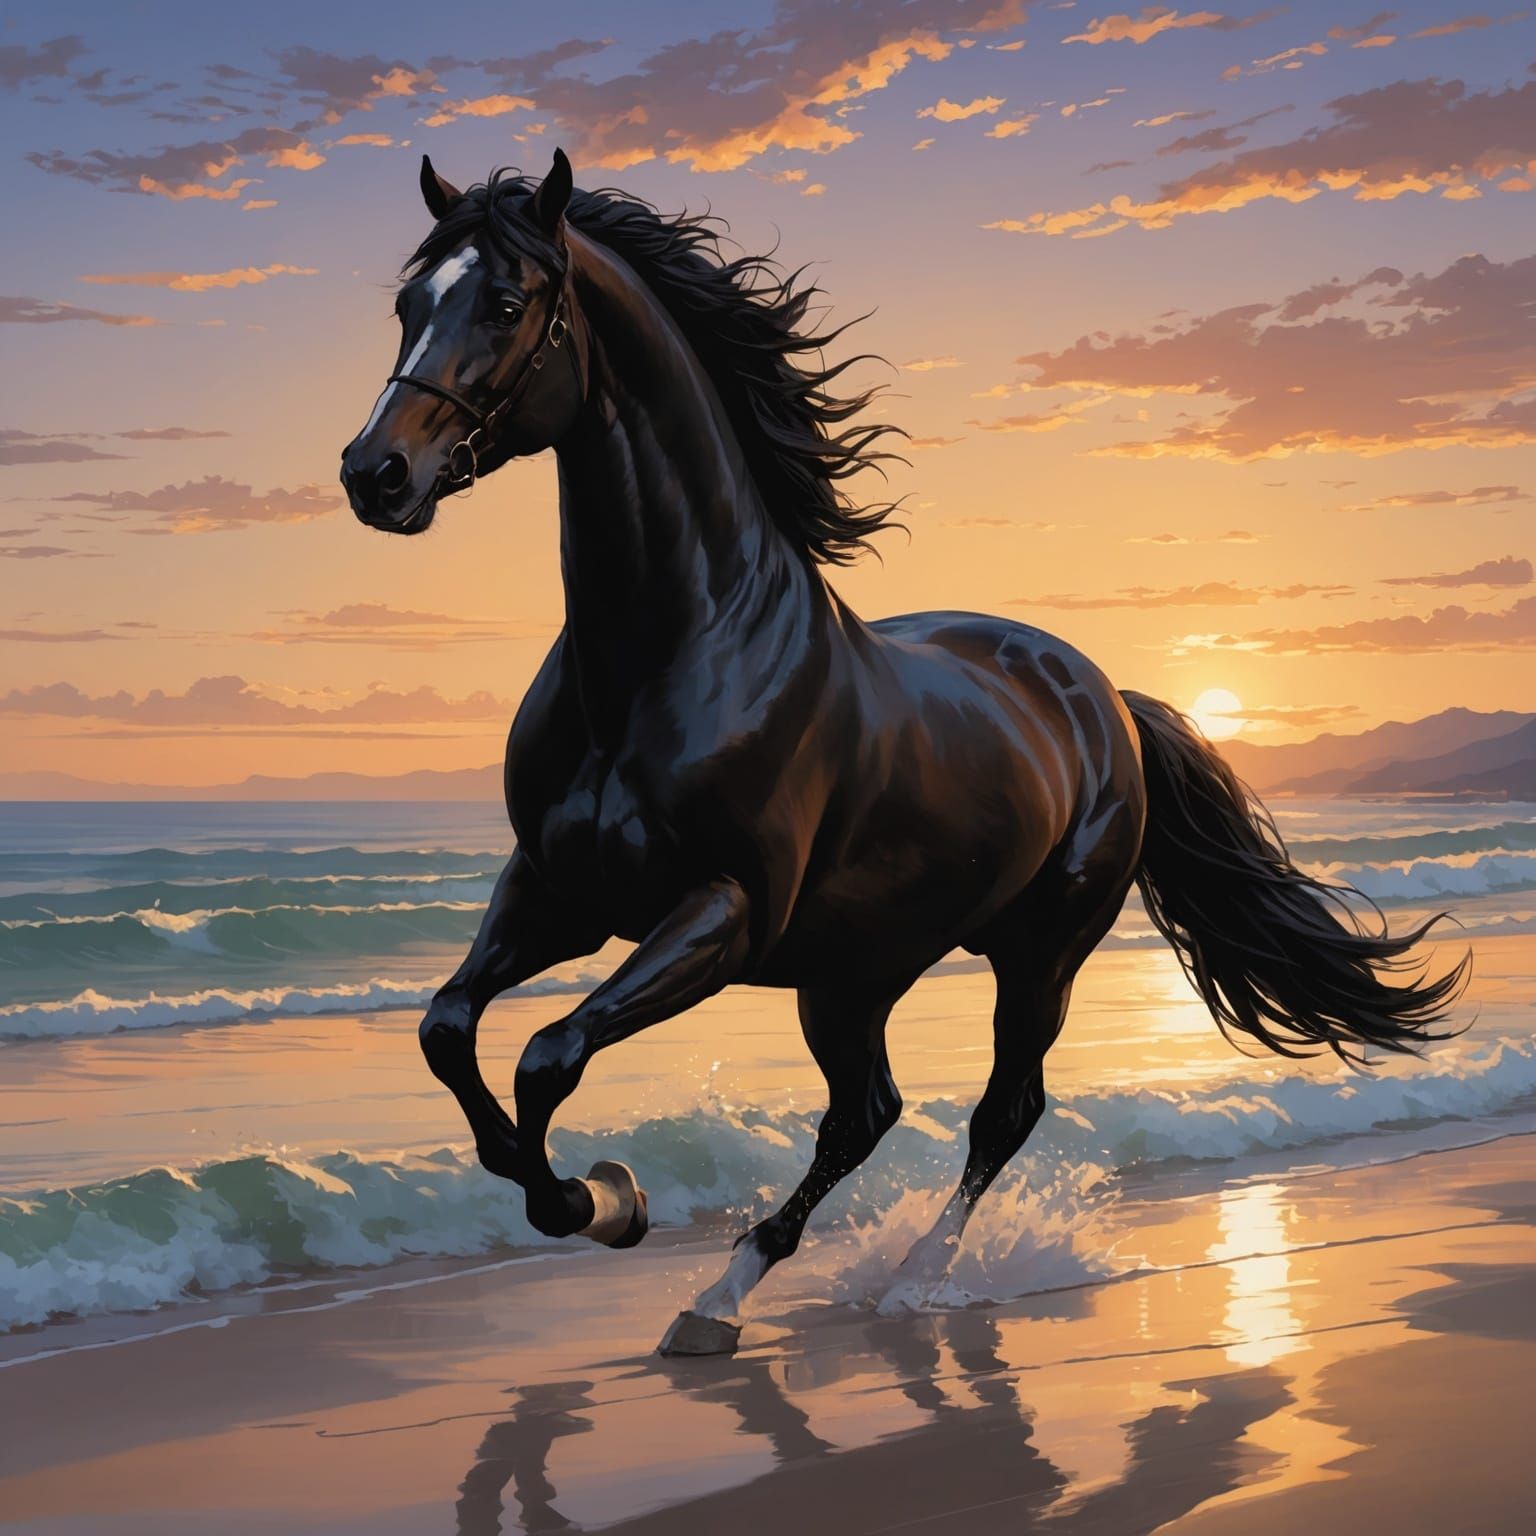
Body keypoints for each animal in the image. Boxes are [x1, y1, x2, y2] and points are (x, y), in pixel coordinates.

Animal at [340, 148, 1465, 1356]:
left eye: (506, 304)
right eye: (407, 304)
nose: (376, 473)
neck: (672, 652)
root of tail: (1107, 699)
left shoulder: (722, 913)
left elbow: (548, 1052)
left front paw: (603, 1200)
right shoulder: (558, 893)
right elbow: (449, 1029)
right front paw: (593, 1198)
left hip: (1035, 955)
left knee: (1000, 1110)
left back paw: (903, 1280)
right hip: (855, 970)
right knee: (863, 1112)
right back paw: (723, 1292)